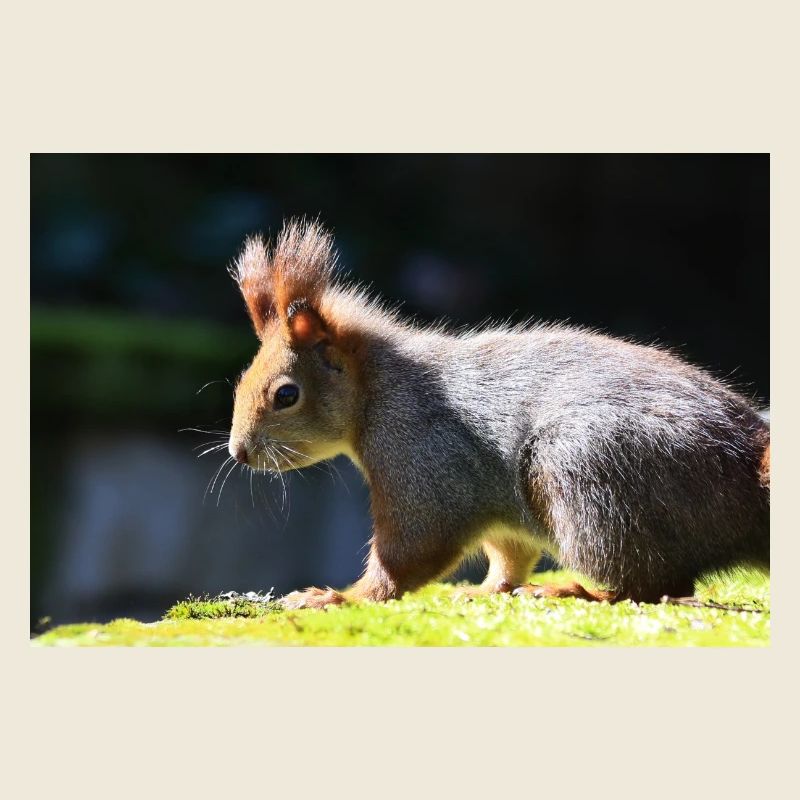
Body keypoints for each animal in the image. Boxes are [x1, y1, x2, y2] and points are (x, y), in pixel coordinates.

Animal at [227, 219, 770, 609]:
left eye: (286, 394)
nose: (239, 452)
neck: (379, 389)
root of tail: (746, 465)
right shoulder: (498, 511)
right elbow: (510, 554)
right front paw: (488, 589)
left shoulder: (424, 459)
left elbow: (409, 553)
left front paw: (339, 597)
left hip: (587, 469)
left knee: (656, 583)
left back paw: (578, 590)